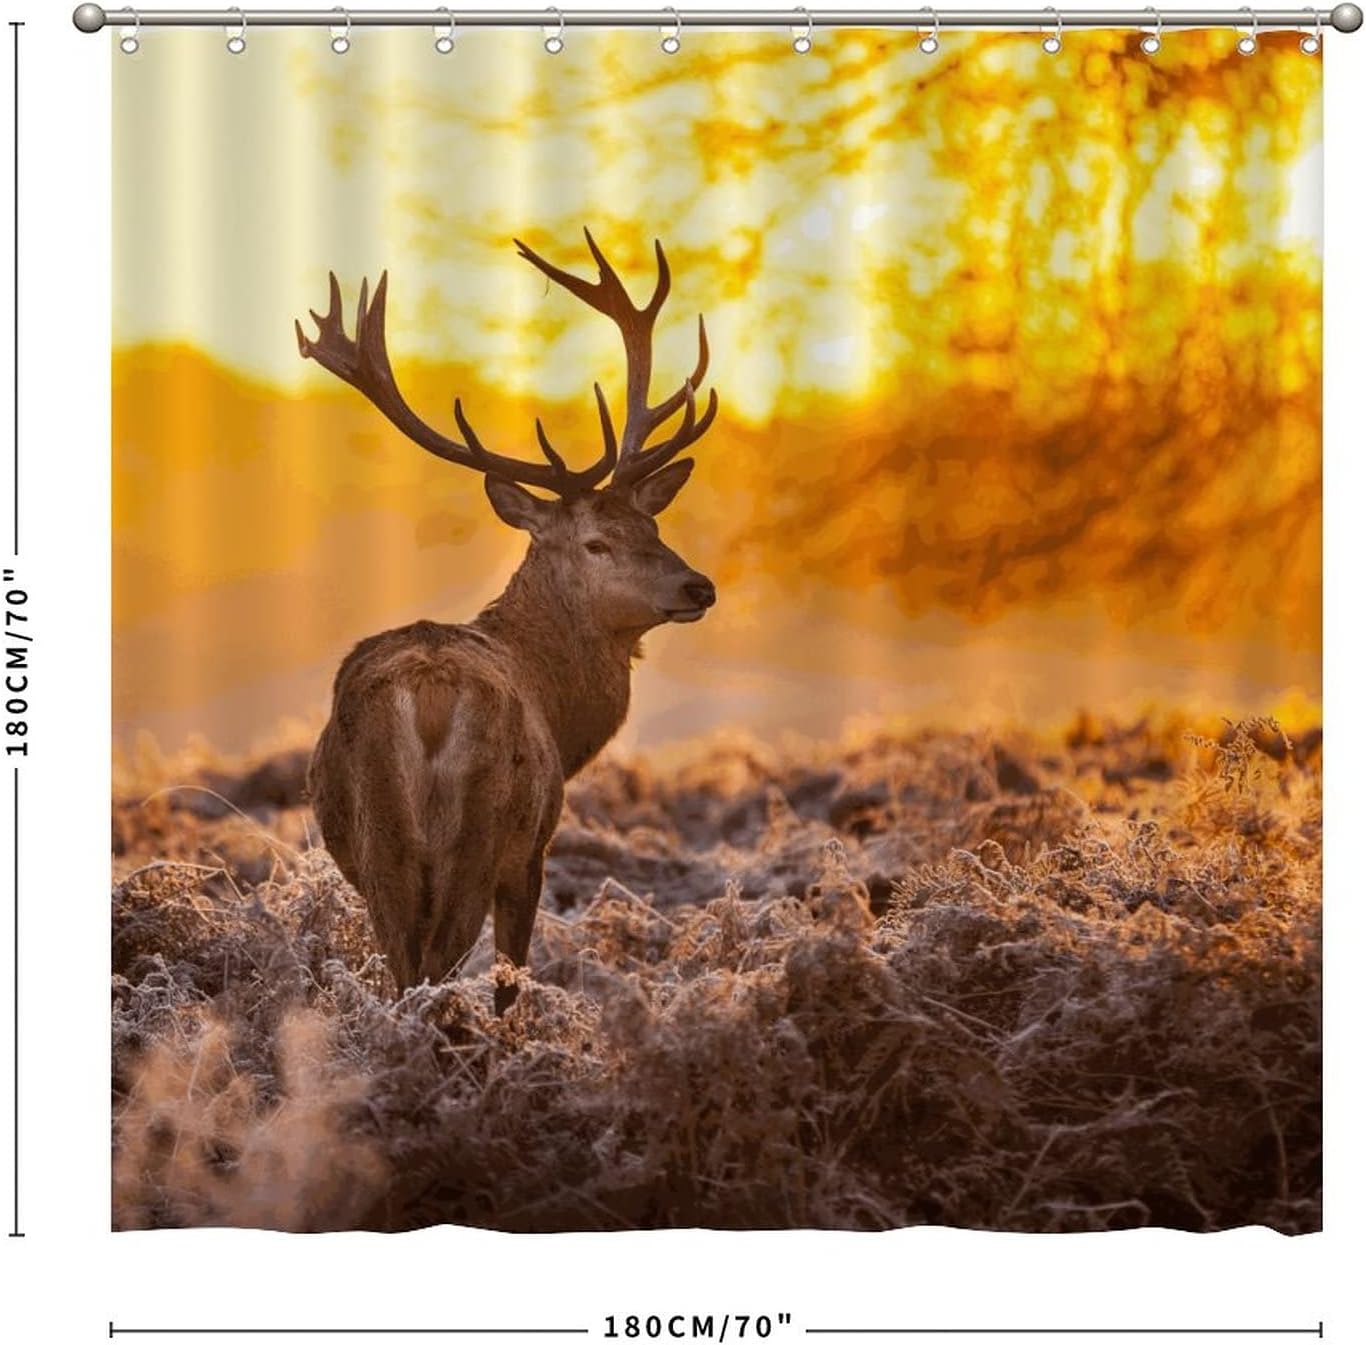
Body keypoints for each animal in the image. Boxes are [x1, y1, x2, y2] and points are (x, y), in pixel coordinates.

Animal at [294, 231, 719, 1012]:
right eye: (597, 542)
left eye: (652, 524)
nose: (698, 585)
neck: (560, 707)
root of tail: (429, 696)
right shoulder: (533, 850)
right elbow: (510, 980)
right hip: (480, 834)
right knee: (436, 970)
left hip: (380, 843)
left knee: (403, 970)